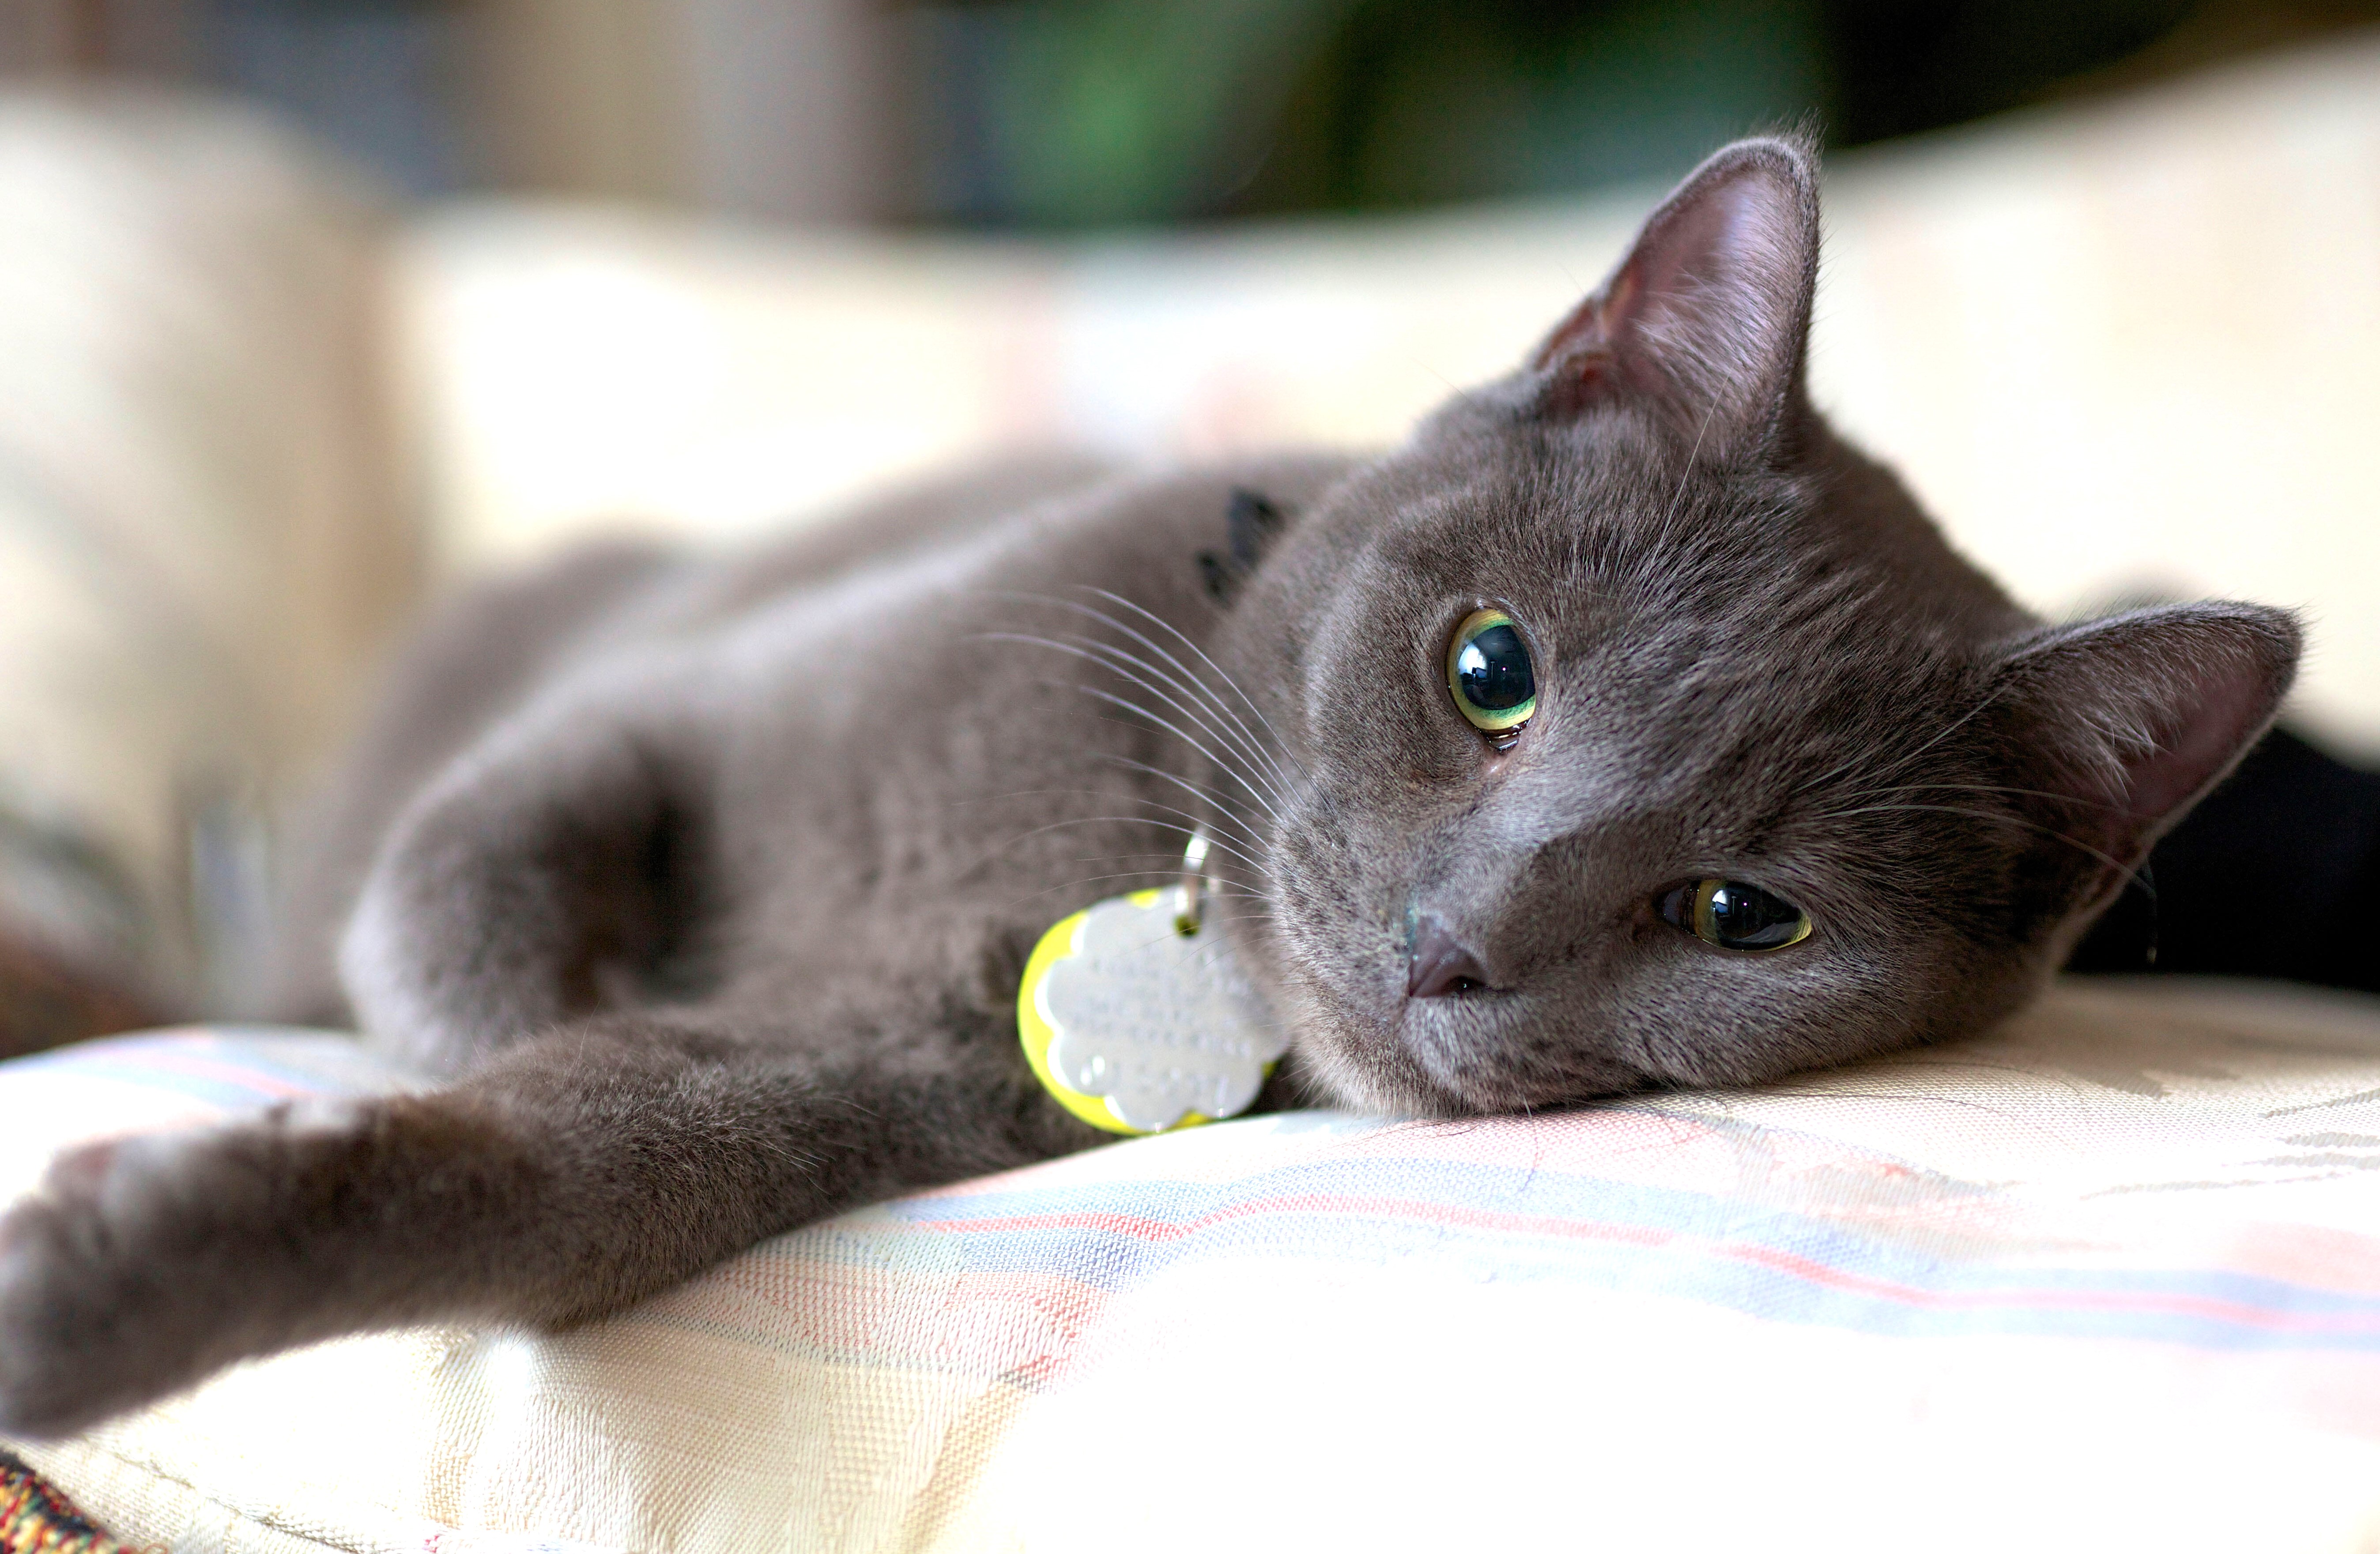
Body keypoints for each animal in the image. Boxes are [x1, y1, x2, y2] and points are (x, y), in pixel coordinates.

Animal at [0, 139, 2294, 1437]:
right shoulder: (680, 701)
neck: (1131, 855)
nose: (1449, 950)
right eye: (1488, 669)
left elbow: (544, 1169)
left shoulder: (848, 1086)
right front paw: (455, 1024)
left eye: (1748, 915)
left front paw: (110, 1266)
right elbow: (472, 879)